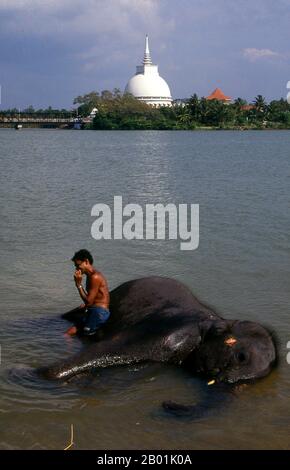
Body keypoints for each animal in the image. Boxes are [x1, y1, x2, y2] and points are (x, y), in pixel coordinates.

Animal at [38, 276, 276, 418]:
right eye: (241, 357)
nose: (166, 403)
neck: (216, 321)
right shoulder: (170, 332)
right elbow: (112, 348)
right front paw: (39, 375)